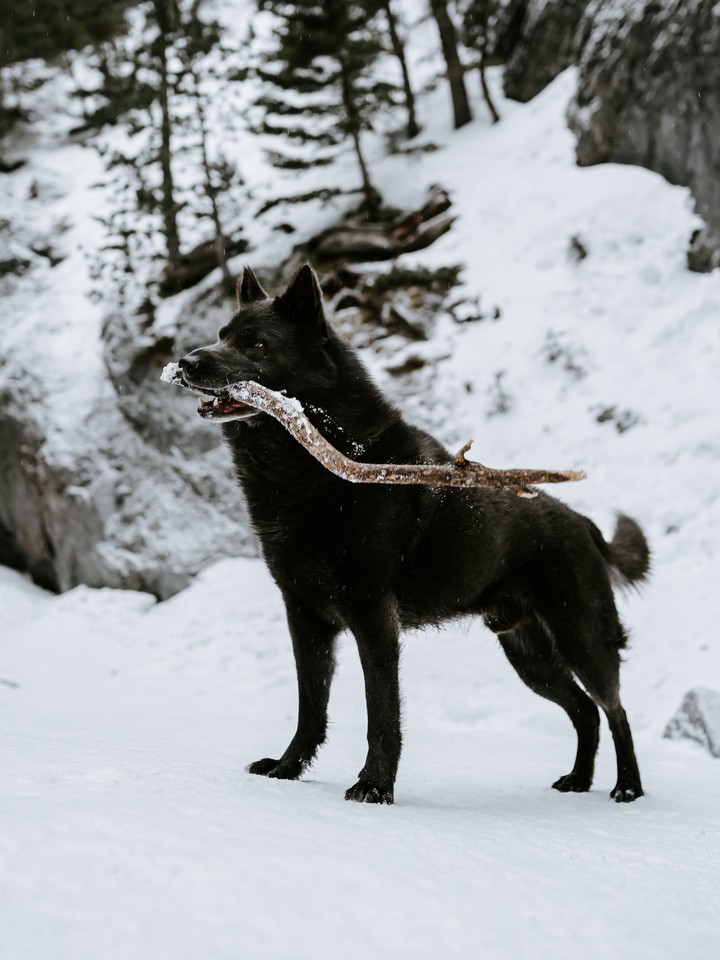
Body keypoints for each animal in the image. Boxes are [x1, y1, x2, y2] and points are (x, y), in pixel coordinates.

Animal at [176, 264, 649, 805]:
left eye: (255, 344)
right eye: (222, 335)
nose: (185, 363)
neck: (316, 465)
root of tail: (582, 523)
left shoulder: (373, 617)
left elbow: (381, 710)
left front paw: (374, 786)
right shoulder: (304, 617)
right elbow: (310, 706)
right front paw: (288, 768)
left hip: (580, 637)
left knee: (614, 709)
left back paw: (628, 787)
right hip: (529, 657)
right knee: (584, 710)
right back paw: (578, 780)